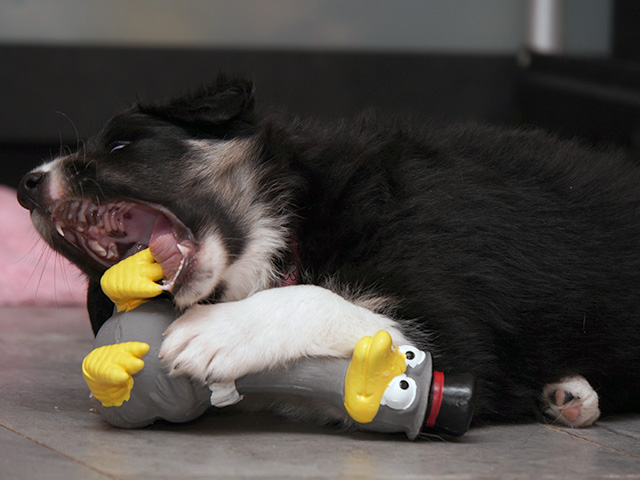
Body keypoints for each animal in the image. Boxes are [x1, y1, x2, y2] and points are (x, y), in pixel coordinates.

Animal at [18, 73, 640, 430]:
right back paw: (569, 395)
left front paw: (217, 332)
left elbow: (321, 299)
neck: (296, 220)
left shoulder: (464, 341)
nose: (25, 184)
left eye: (123, 145)